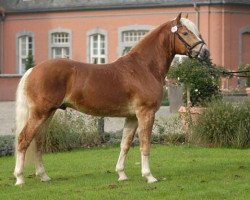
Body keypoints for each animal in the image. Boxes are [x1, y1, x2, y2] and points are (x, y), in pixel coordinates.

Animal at [13, 13, 209, 185]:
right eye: (185, 33)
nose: (205, 53)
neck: (143, 68)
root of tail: (33, 70)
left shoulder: (132, 117)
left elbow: (125, 144)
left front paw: (122, 174)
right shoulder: (146, 113)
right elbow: (145, 144)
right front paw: (149, 176)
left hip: (48, 113)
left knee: (38, 141)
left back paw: (44, 176)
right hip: (40, 113)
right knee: (24, 139)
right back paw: (20, 178)